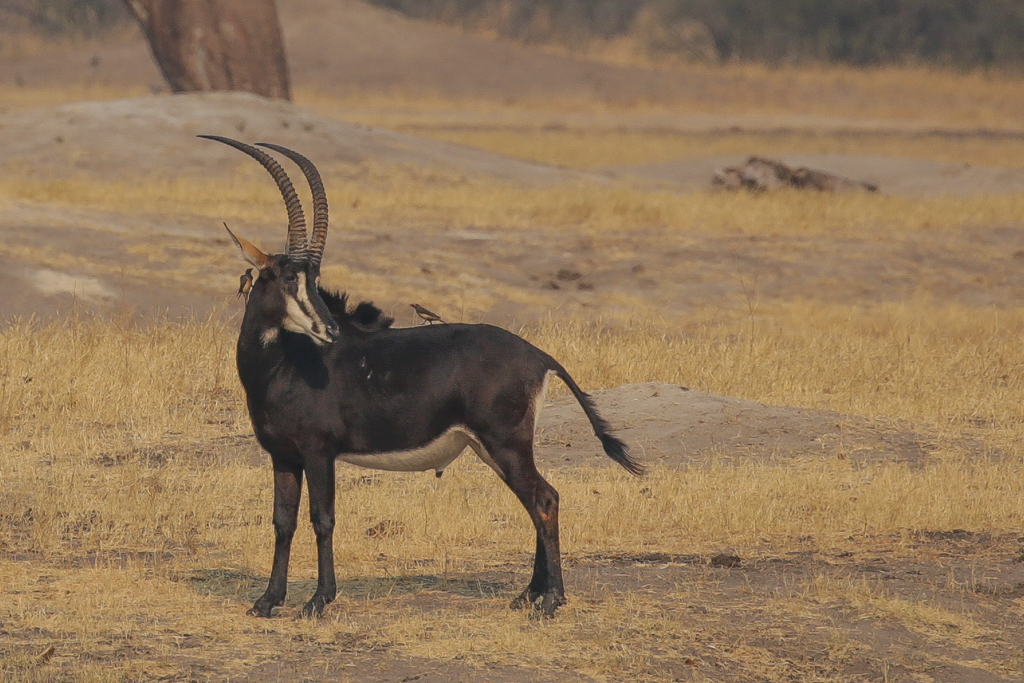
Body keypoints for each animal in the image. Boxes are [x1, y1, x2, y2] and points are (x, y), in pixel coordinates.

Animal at [199, 133, 638, 618]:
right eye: (287, 277)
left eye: (313, 279)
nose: (330, 330)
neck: (282, 366)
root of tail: (539, 356)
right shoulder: (283, 456)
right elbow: (283, 521)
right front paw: (267, 600)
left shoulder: (318, 451)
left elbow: (322, 519)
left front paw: (318, 600)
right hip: (487, 447)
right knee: (540, 498)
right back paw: (528, 594)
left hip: (504, 443)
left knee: (543, 499)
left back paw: (551, 600)